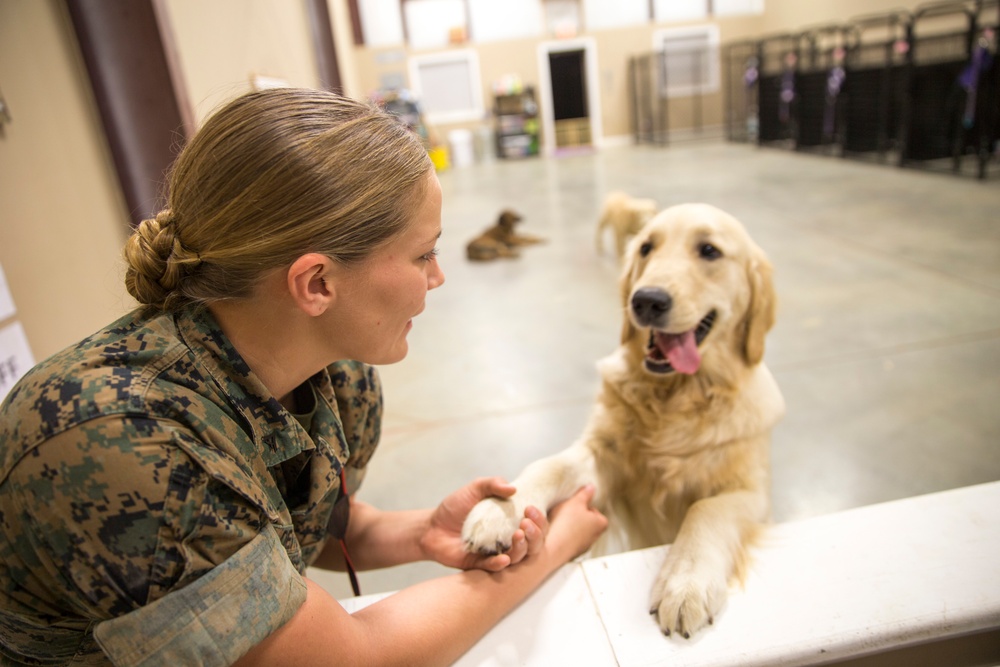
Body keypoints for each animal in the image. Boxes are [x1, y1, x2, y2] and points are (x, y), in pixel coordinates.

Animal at [460, 205, 780, 640]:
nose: (646, 300)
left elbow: (706, 510)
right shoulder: (603, 459)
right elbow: (550, 465)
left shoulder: (752, 491)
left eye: (710, 250)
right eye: (645, 247)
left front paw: (686, 582)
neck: (675, 395)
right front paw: (499, 510)